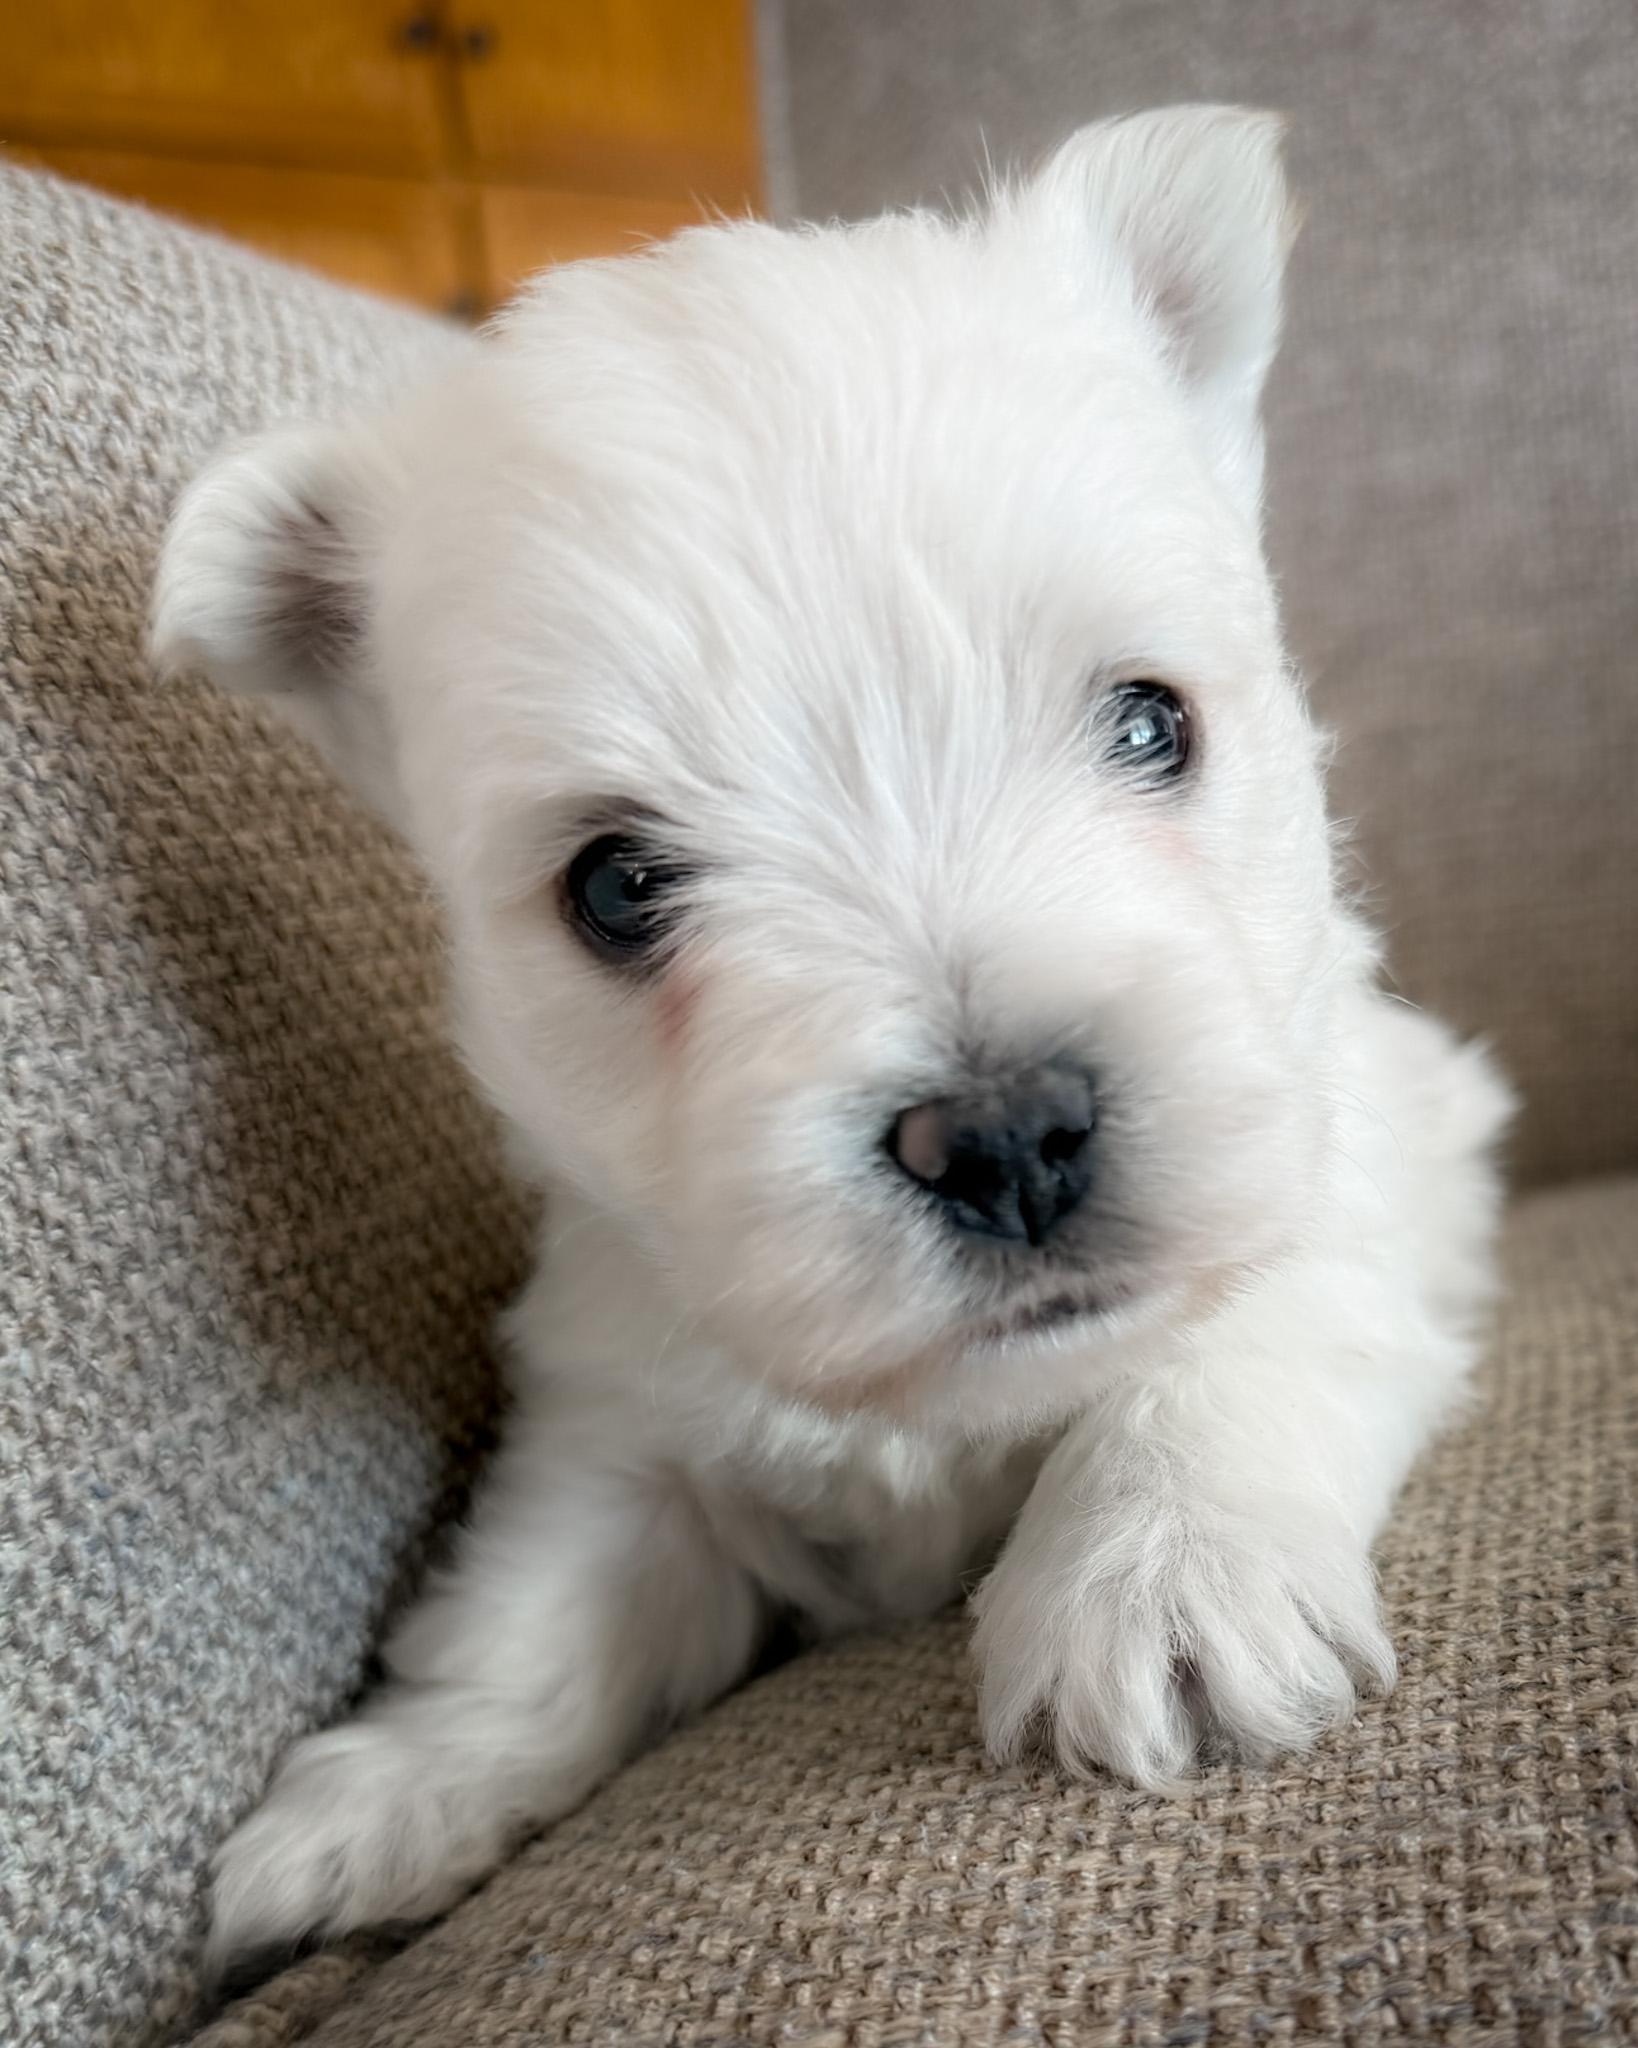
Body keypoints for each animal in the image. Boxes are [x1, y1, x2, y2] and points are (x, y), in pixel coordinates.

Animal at [152, 106, 1511, 1975]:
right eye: (616, 885)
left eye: (1147, 721)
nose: (1004, 1136)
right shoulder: (616, 1392)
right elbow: (530, 1604)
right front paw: (384, 1799)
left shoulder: (1363, 1145)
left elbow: (1228, 1330)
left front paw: (1154, 1588)